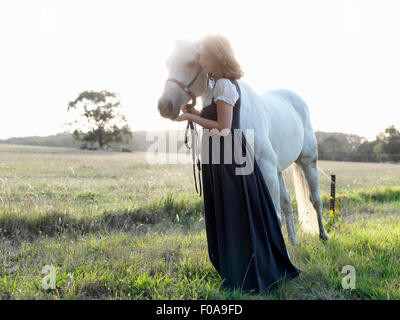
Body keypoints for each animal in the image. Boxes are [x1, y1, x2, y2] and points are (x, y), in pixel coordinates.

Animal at [158, 39, 330, 245]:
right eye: (167, 63)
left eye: (191, 62)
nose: (164, 106)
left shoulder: (266, 168)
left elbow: (275, 217)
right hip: (278, 170)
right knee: (287, 202)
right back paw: (294, 243)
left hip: (307, 161)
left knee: (315, 200)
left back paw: (323, 235)